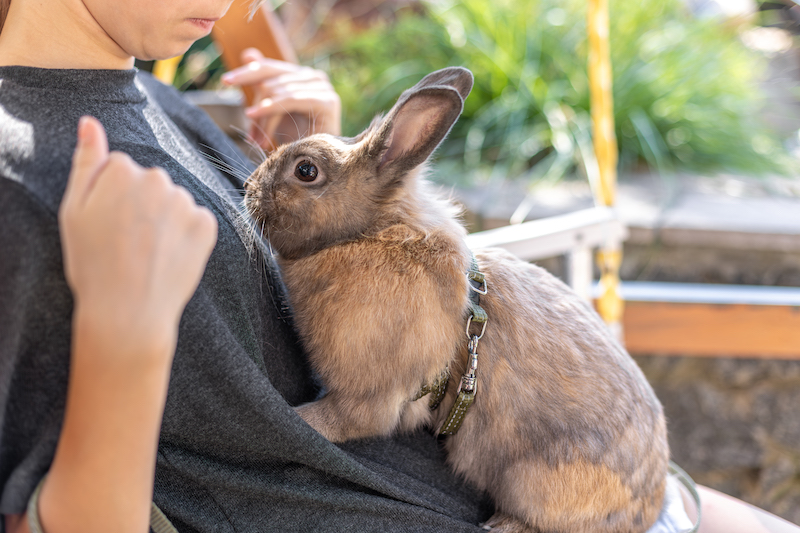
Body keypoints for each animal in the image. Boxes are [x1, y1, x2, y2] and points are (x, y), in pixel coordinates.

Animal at [244, 67, 668, 532]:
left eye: (306, 170)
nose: (247, 188)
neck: (370, 234)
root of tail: (646, 510)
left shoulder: (368, 394)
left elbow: (342, 421)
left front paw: (296, 419)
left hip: (530, 480)